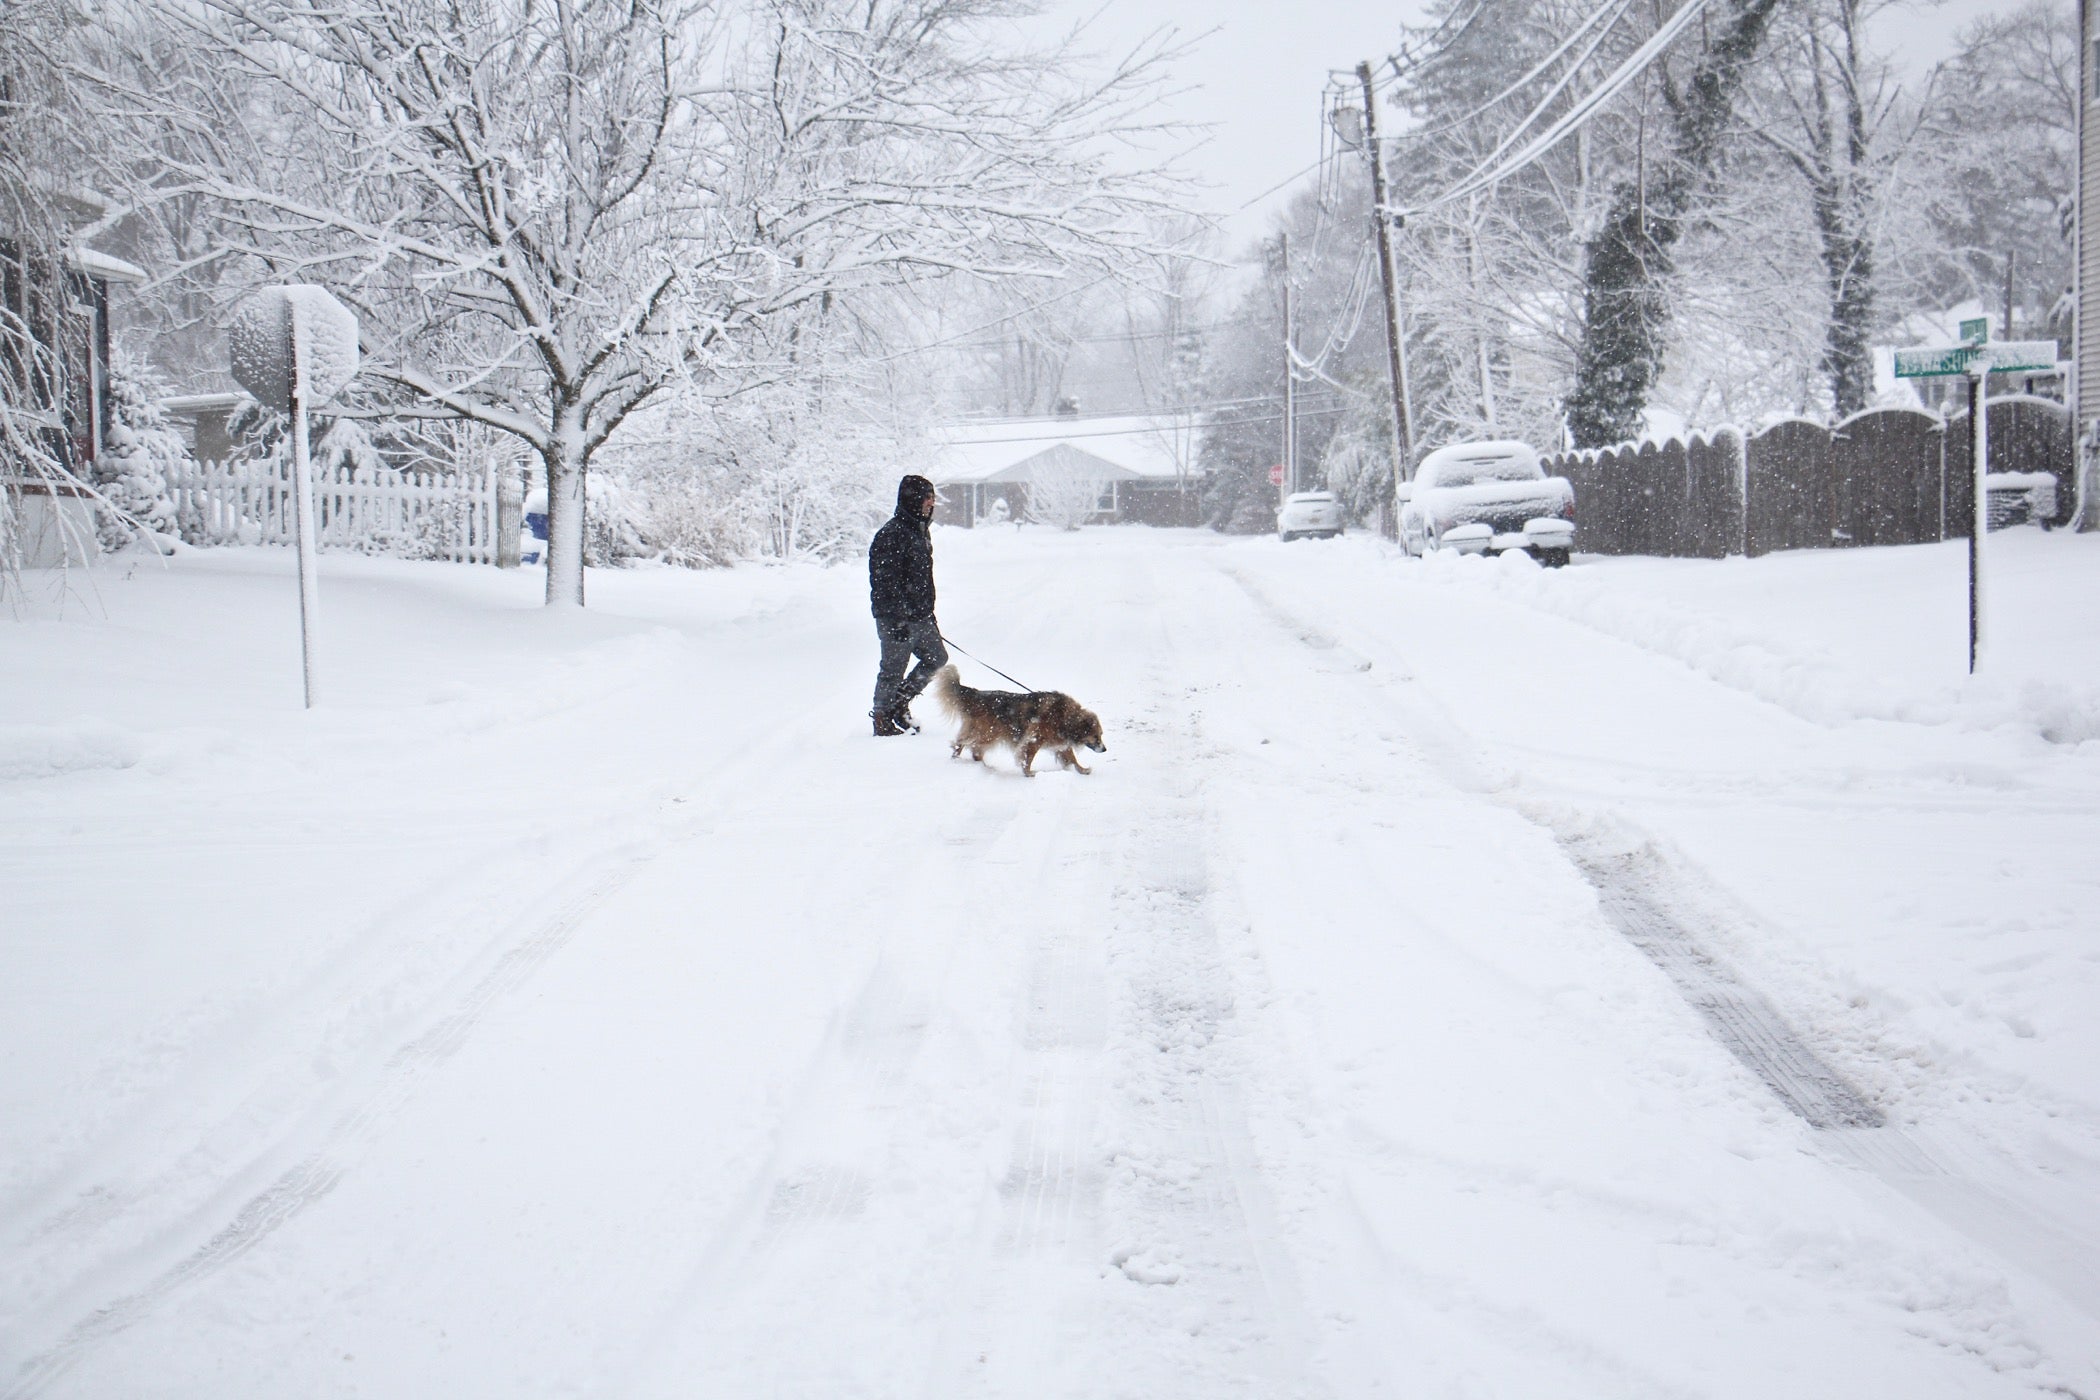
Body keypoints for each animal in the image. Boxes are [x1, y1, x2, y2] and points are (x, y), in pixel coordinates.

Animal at [932, 667, 1108, 776]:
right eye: (1096, 736)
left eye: (1101, 735)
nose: (1105, 749)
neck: (1065, 717)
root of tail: (976, 694)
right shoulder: (1034, 739)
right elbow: (1028, 757)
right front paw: (1028, 773)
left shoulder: (1060, 743)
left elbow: (1071, 757)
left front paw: (1082, 770)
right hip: (988, 732)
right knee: (968, 745)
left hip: (983, 732)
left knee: (968, 746)